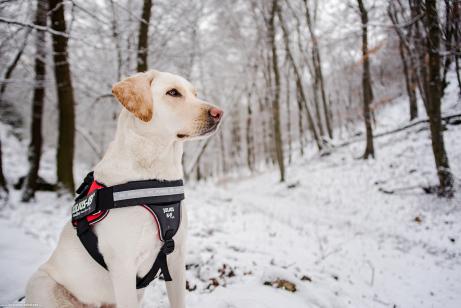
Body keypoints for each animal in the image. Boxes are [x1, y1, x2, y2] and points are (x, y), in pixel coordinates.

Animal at [26, 70, 224, 308]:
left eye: (195, 94)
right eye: (173, 93)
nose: (219, 113)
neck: (155, 174)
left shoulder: (176, 257)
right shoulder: (123, 266)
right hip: (41, 283)